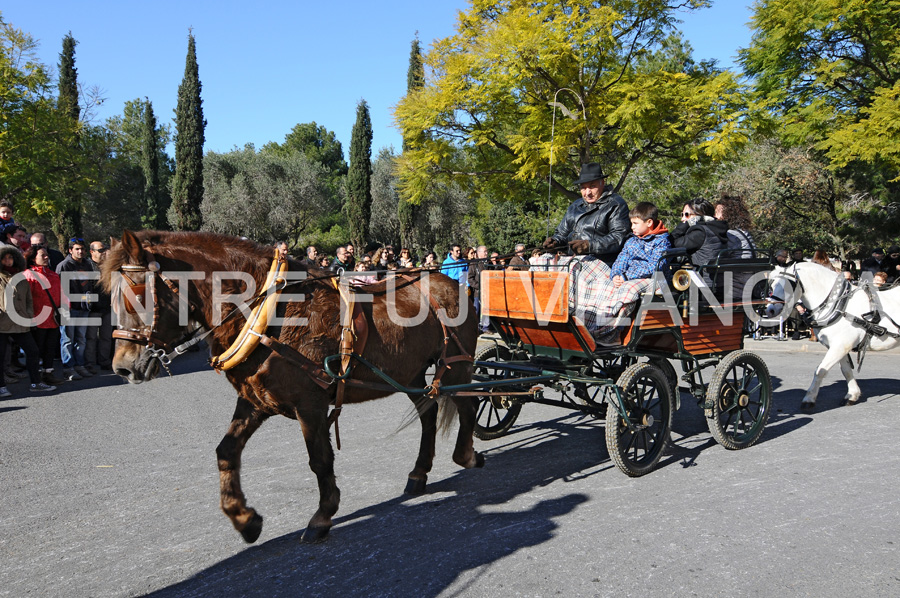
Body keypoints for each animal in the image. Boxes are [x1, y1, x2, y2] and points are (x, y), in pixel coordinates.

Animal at [101, 232, 482, 548]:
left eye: (137, 295)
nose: (122, 366)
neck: (268, 313)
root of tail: (452, 284)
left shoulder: (309, 403)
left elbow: (319, 459)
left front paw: (322, 515)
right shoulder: (254, 400)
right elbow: (226, 451)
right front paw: (244, 518)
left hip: (456, 364)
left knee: (469, 403)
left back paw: (465, 454)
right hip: (410, 373)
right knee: (428, 413)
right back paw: (419, 472)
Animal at [768, 264, 900, 410]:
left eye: (789, 285)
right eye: (772, 285)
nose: (770, 310)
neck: (840, 306)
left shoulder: (841, 346)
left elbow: (820, 370)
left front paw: (809, 398)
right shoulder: (838, 346)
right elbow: (846, 370)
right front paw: (852, 395)